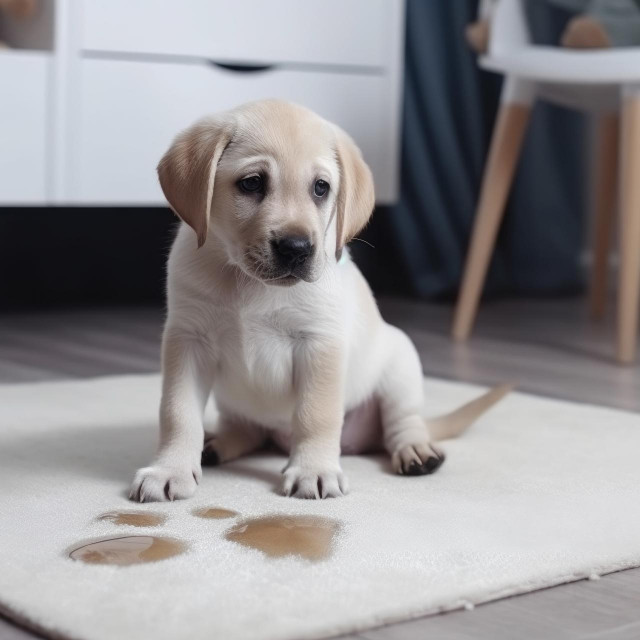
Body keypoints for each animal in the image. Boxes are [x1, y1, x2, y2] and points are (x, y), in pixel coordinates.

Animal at [131, 100, 510, 502]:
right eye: (252, 183)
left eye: (320, 188)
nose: (296, 248)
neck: (250, 284)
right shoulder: (188, 340)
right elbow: (178, 412)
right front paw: (170, 469)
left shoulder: (318, 343)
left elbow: (316, 414)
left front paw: (313, 470)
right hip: (234, 402)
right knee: (249, 431)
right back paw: (217, 445)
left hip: (401, 366)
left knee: (403, 423)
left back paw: (416, 451)